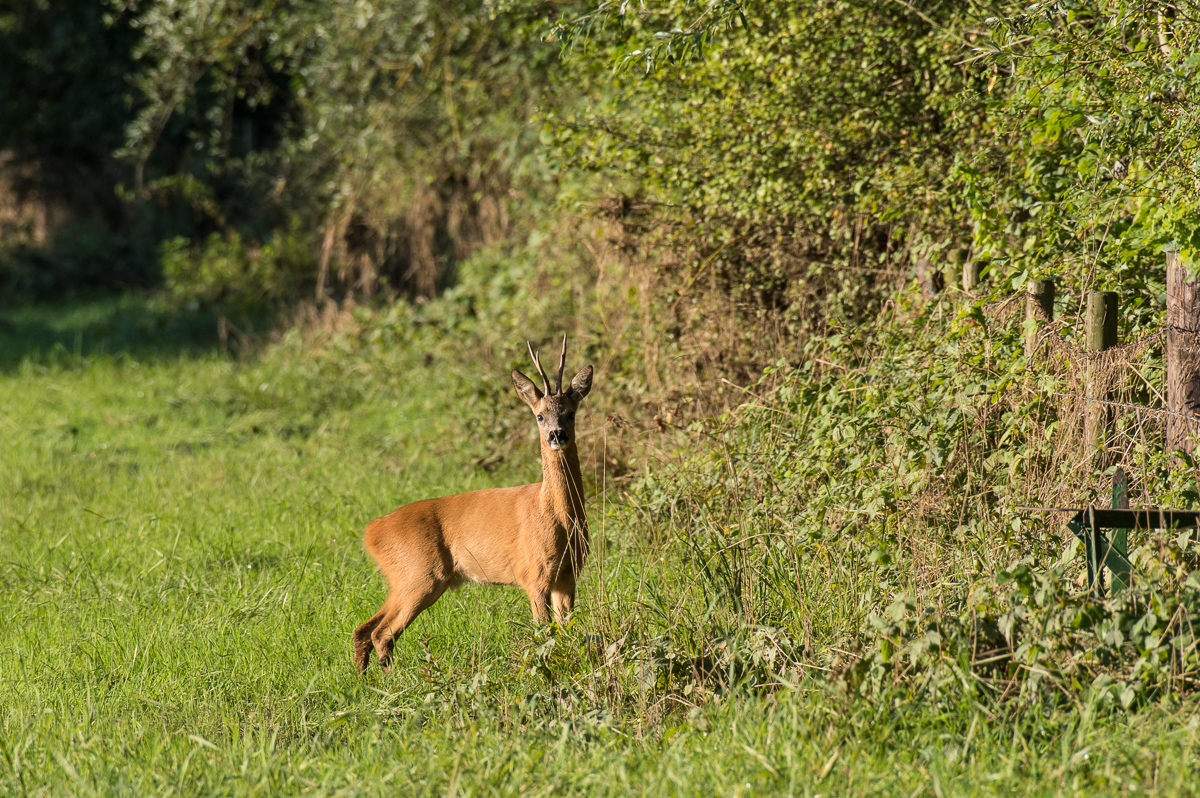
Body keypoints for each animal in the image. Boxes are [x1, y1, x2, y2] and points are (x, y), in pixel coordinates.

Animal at [350, 333, 595, 667]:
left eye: (571, 413)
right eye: (539, 415)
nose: (556, 435)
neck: (557, 517)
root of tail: (371, 531)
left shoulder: (568, 575)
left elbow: (567, 630)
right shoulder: (532, 574)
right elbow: (545, 634)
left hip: (406, 579)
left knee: (364, 629)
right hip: (420, 575)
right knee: (382, 633)